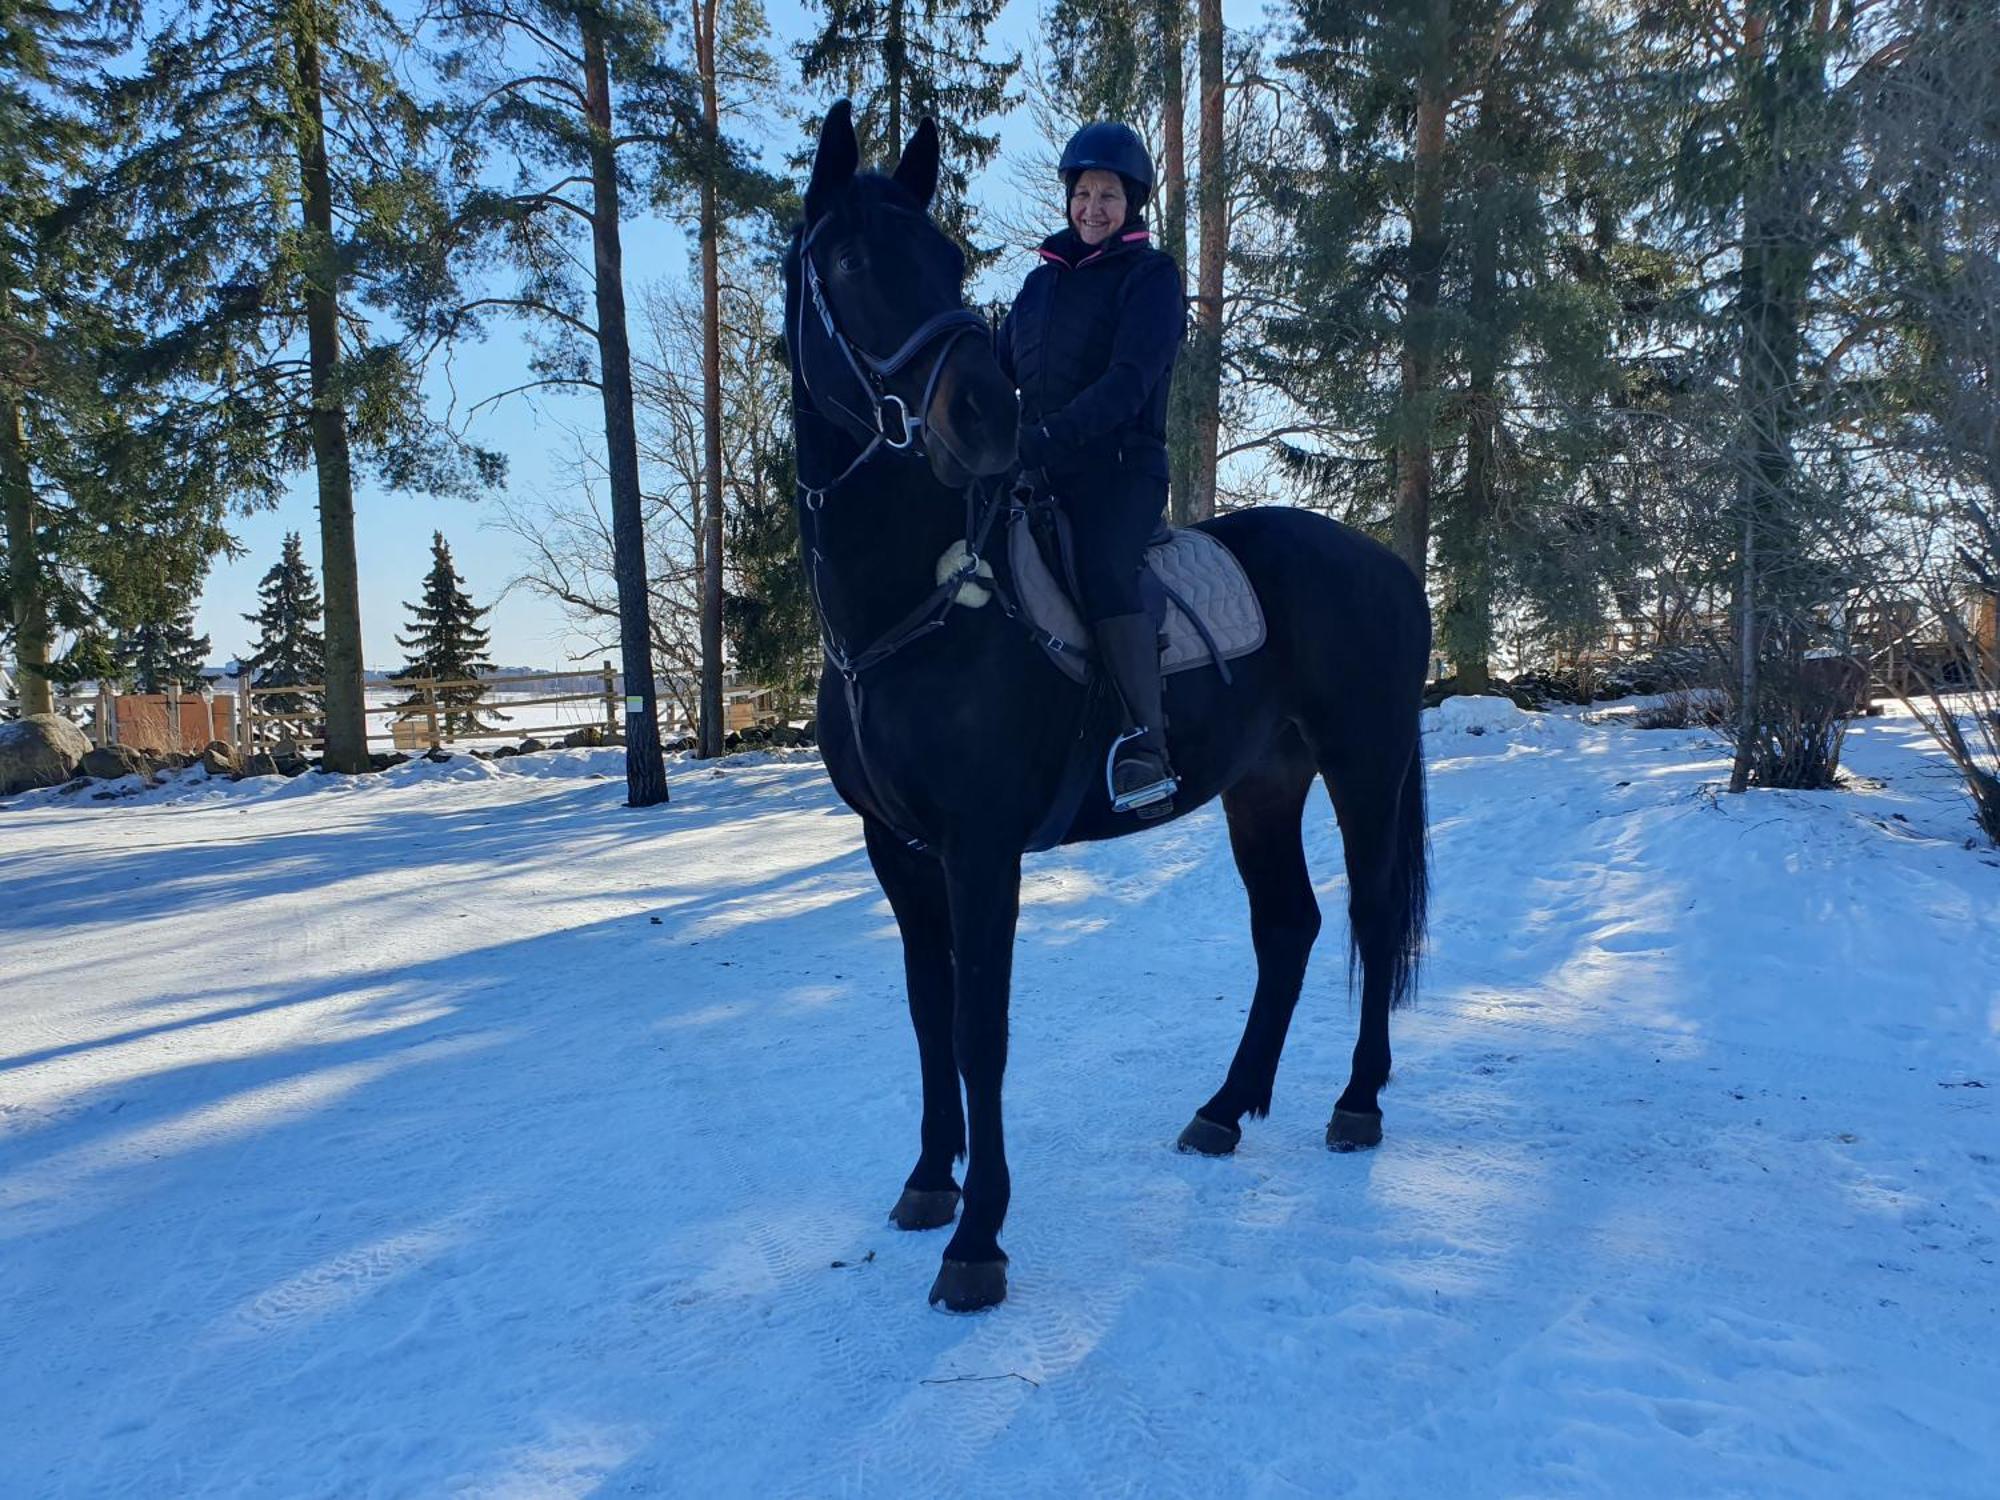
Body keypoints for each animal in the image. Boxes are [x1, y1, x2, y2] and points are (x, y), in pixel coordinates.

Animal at [788, 103, 1432, 1312]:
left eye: (947, 257)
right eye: (849, 262)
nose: (987, 418)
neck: (913, 606)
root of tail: (1384, 565)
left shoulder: (980, 847)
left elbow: (979, 1031)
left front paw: (978, 1243)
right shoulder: (898, 852)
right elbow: (927, 1016)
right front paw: (928, 1183)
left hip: (1365, 763)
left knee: (1370, 920)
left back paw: (1356, 1104)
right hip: (1262, 785)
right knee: (1289, 928)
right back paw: (1222, 1111)